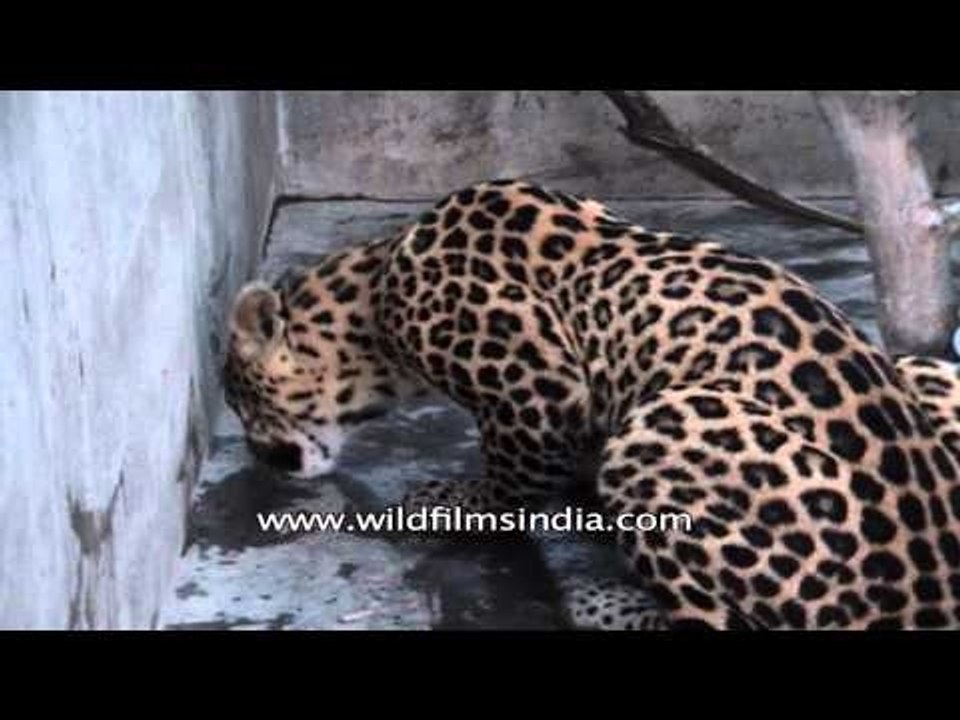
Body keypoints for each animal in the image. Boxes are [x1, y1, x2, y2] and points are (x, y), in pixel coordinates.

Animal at [223, 179, 960, 630]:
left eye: (237, 401)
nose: (262, 459)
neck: (372, 298)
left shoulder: (535, 381)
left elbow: (513, 475)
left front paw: (450, 499)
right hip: (919, 370)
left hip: (660, 428)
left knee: (719, 626)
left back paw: (603, 601)